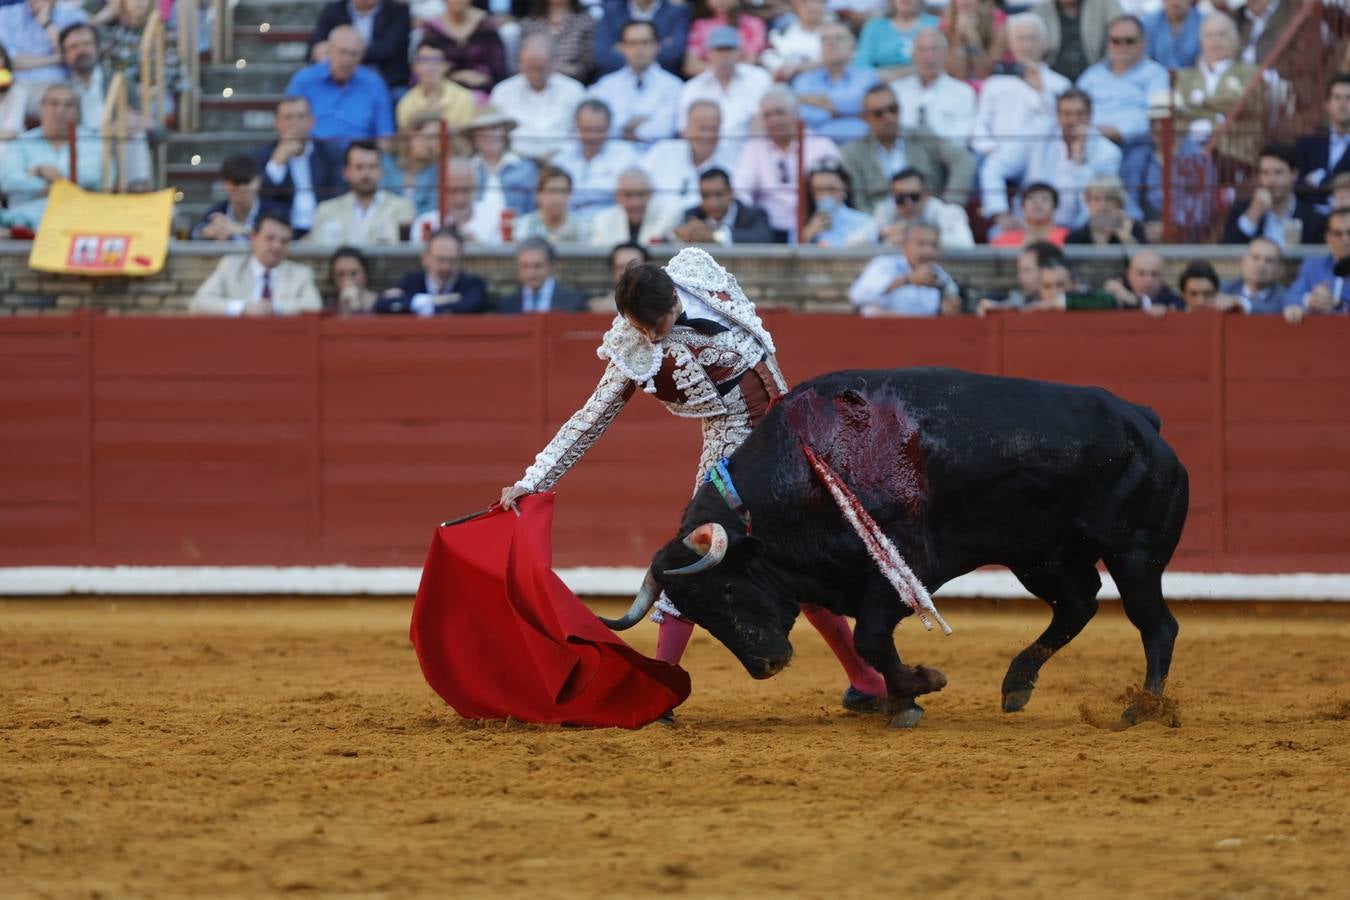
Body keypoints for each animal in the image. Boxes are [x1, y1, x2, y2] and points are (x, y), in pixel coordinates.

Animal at [637, 369, 1188, 728]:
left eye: (727, 591)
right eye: (697, 612)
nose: (765, 666)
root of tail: (1144, 421)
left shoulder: (903, 569)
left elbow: (871, 638)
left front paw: (919, 688)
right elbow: (868, 640)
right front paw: (902, 697)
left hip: (1135, 556)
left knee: (1156, 625)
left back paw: (1142, 709)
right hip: (1040, 556)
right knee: (1078, 604)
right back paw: (1017, 684)